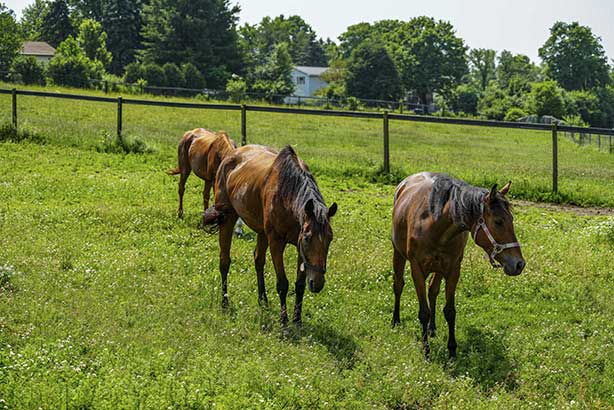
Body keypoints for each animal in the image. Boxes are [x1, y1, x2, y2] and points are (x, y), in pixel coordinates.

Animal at [202, 144, 336, 326]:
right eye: (308, 238)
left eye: (330, 239)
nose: (317, 283)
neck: (287, 193)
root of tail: (231, 154)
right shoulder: (276, 242)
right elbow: (282, 284)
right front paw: (284, 322)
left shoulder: (300, 248)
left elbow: (300, 284)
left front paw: (297, 320)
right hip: (227, 219)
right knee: (224, 262)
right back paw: (225, 302)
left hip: (261, 232)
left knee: (258, 260)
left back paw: (263, 300)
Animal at [392, 171, 528, 358]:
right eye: (498, 221)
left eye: (511, 219)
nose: (519, 264)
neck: (434, 224)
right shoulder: (416, 269)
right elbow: (424, 312)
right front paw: (426, 351)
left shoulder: (453, 269)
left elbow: (450, 311)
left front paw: (452, 350)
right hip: (398, 254)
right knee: (398, 285)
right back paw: (396, 320)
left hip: (439, 268)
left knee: (433, 291)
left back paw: (432, 329)